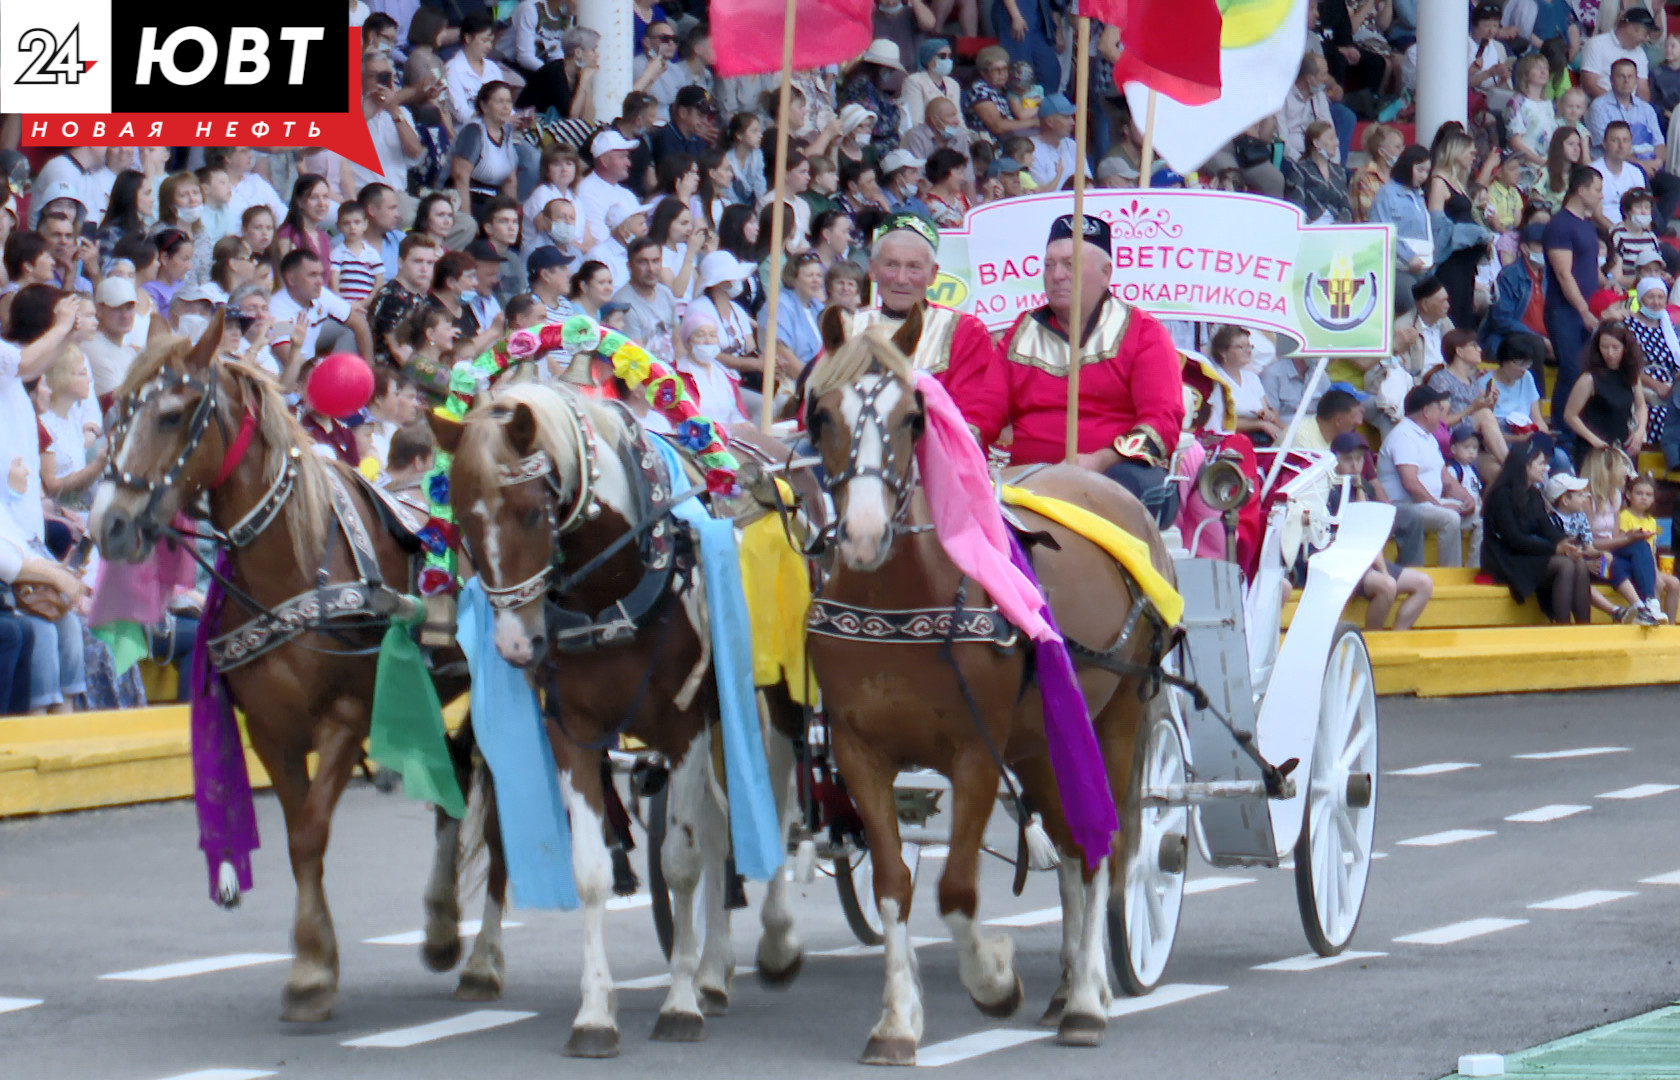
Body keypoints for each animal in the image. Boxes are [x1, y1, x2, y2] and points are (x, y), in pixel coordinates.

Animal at [88, 312, 503, 1021]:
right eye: (116, 414)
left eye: (171, 415)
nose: (108, 524)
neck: (297, 561)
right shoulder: (270, 730)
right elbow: (295, 842)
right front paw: (314, 963)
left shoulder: (345, 718)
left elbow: (310, 833)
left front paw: (310, 970)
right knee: (456, 784)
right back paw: (443, 927)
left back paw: (483, 959)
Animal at [436, 384, 809, 1061]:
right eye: (464, 522)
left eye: (531, 513)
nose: (515, 645)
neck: (612, 586)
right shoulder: (572, 733)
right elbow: (591, 873)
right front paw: (594, 1014)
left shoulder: (685, 726)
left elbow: (681, 864)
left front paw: (679, 1004)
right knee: (720, 829)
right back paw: (714, 970)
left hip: (771, 701)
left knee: (771, 808)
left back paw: (773, 943)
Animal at [803, 320, 1182, 1061]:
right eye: (821, 415)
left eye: (914, 416)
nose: (862, 535)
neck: (899, 598)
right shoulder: (860, 751)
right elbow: (892, 883)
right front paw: (896, 1022)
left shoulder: (975, 753)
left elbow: (955, 889)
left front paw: (994, 983)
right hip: (1043, 741)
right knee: (1070, 845)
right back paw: (1069, 987)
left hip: (1117, 720)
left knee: (1102, 847)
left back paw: (1086, 1001)